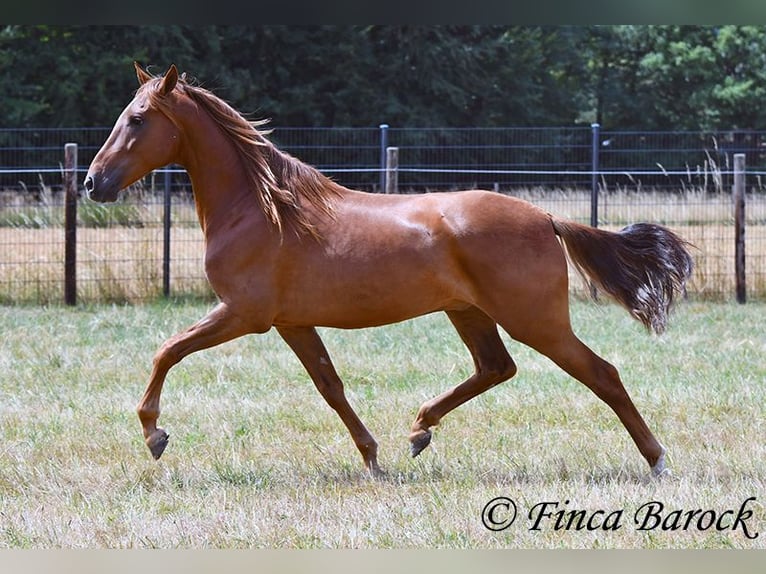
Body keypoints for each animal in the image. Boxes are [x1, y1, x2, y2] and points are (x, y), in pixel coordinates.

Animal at [84, 63, 693, 477]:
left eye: (137, 120)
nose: (93, 183)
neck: (263, 209)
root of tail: (544, 217)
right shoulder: (291, 322)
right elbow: (330, 386)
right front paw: (373, 459)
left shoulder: (243, 315)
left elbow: (167, 351)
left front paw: (154, 433)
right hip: (469, 312)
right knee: (496, 368)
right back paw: (419, 430)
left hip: (534, 319)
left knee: (601, 373)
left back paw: (658, 461)